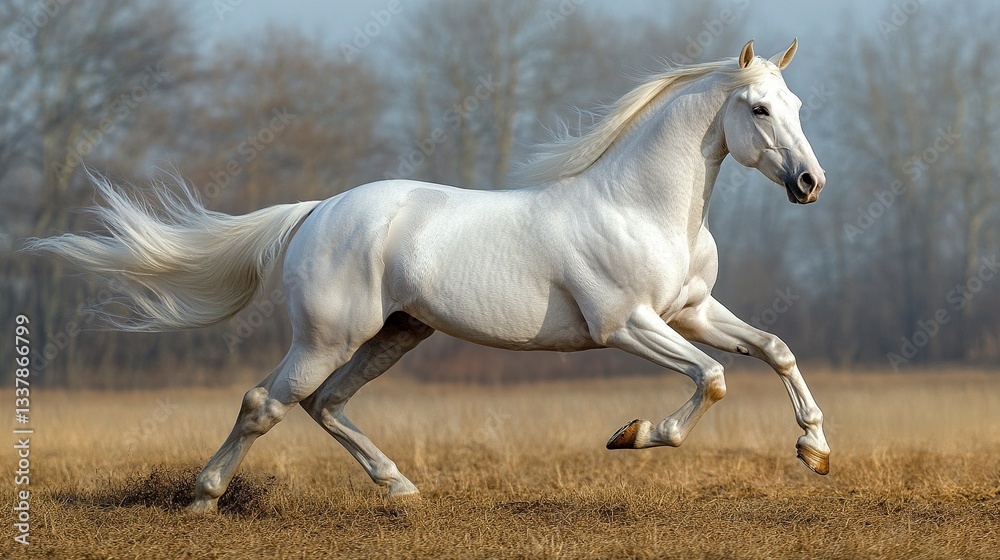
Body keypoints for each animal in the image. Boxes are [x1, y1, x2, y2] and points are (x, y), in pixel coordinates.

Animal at [27, 39, 830, 513]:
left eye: (796, 104)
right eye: (759, 108)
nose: (810, 183)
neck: (642, 207)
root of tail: (315, 212)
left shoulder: (692, 311)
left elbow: (774, 349)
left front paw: (815, 450)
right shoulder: (626, 324)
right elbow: (712, 380)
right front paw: (632, 435)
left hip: (397, 333)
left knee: (325, 404)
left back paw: (401, 488)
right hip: (327, 336)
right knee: (267, 402)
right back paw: (202, 499)